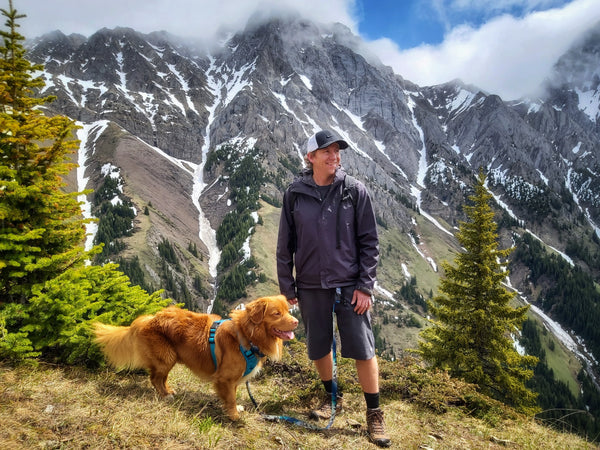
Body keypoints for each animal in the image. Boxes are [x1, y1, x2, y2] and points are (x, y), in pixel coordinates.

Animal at [94, 296, 298, 418]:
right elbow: (231, 398)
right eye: (276, 313)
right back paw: (164, 395)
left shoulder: (233, 379)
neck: (246, 336)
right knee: (154, 378)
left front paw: (235, 410)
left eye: (288, 311)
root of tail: (149, 318)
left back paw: (169, 391)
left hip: (170, 358)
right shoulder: (225, 378)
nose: (296, 321)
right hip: (166, 357)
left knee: (161, 378)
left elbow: (233, 394)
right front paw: (234, 416)